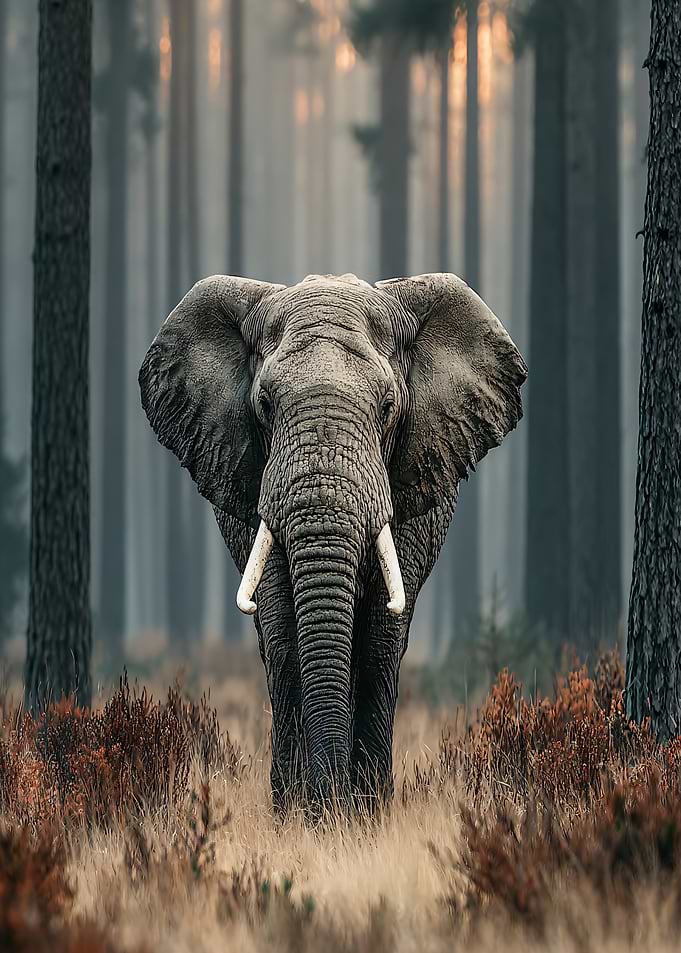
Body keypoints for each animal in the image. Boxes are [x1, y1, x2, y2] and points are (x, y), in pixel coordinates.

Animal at [139, 272, 527, 811]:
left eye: (388, 407)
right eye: (264, 405)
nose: (330, 796)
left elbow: (382, 636)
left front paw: (363, 811)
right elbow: (282, 629)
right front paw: (303, 813)